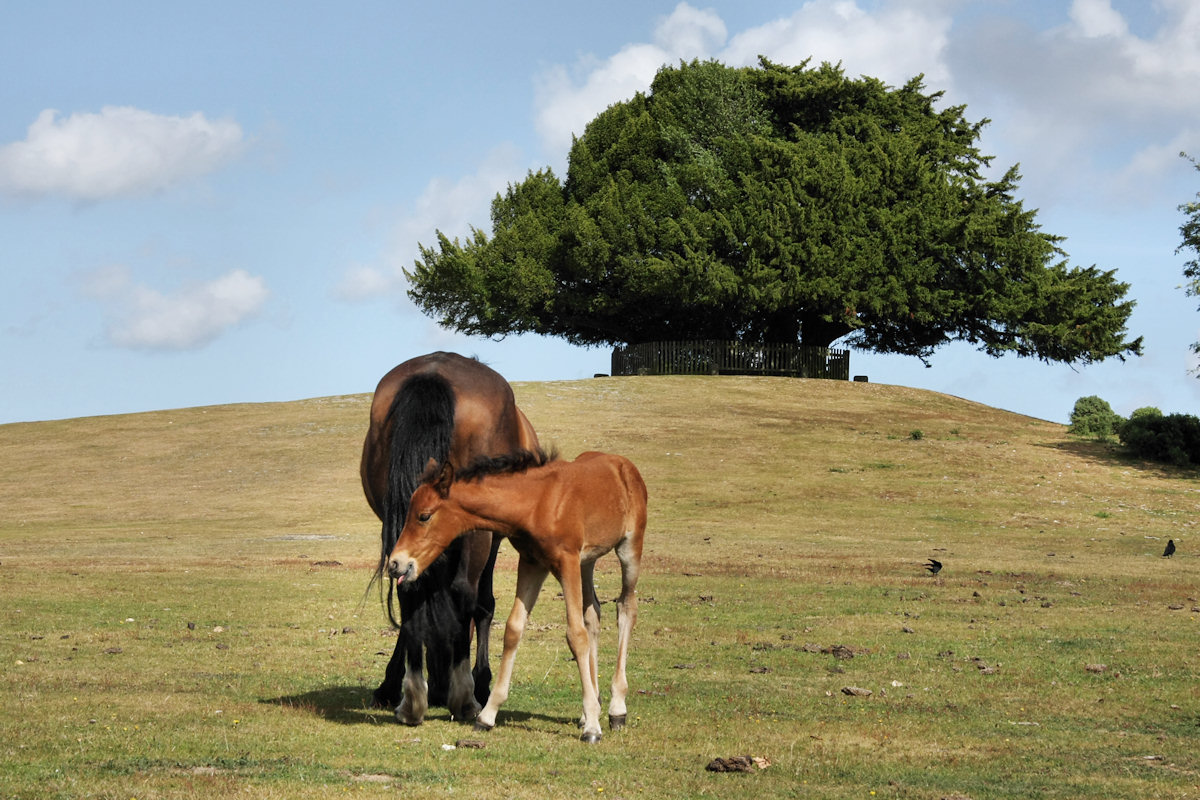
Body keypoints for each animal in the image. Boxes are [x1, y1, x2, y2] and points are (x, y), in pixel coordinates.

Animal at [360, 352, 540, 724]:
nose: (439, 690)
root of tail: (434, 373)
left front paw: (390, 684)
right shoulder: (493, 536)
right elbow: (483, 605)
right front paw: (481, 682)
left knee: (408, 584)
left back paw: (412, 699)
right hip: (477, 534)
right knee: (464, 592)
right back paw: (465, 698)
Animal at [386, 450, 648, 743]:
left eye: (424, 516)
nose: (395, 563)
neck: (536, 503)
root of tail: (623, 463)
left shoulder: (567, 561)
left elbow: (575, 635)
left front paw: (593, 726)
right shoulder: (532, 563)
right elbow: (513, 629)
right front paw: (487, 716)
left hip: (629, 548)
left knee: (626, 609)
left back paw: (616, 710)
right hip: (587, 561)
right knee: (593, 614)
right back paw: (592, 708)